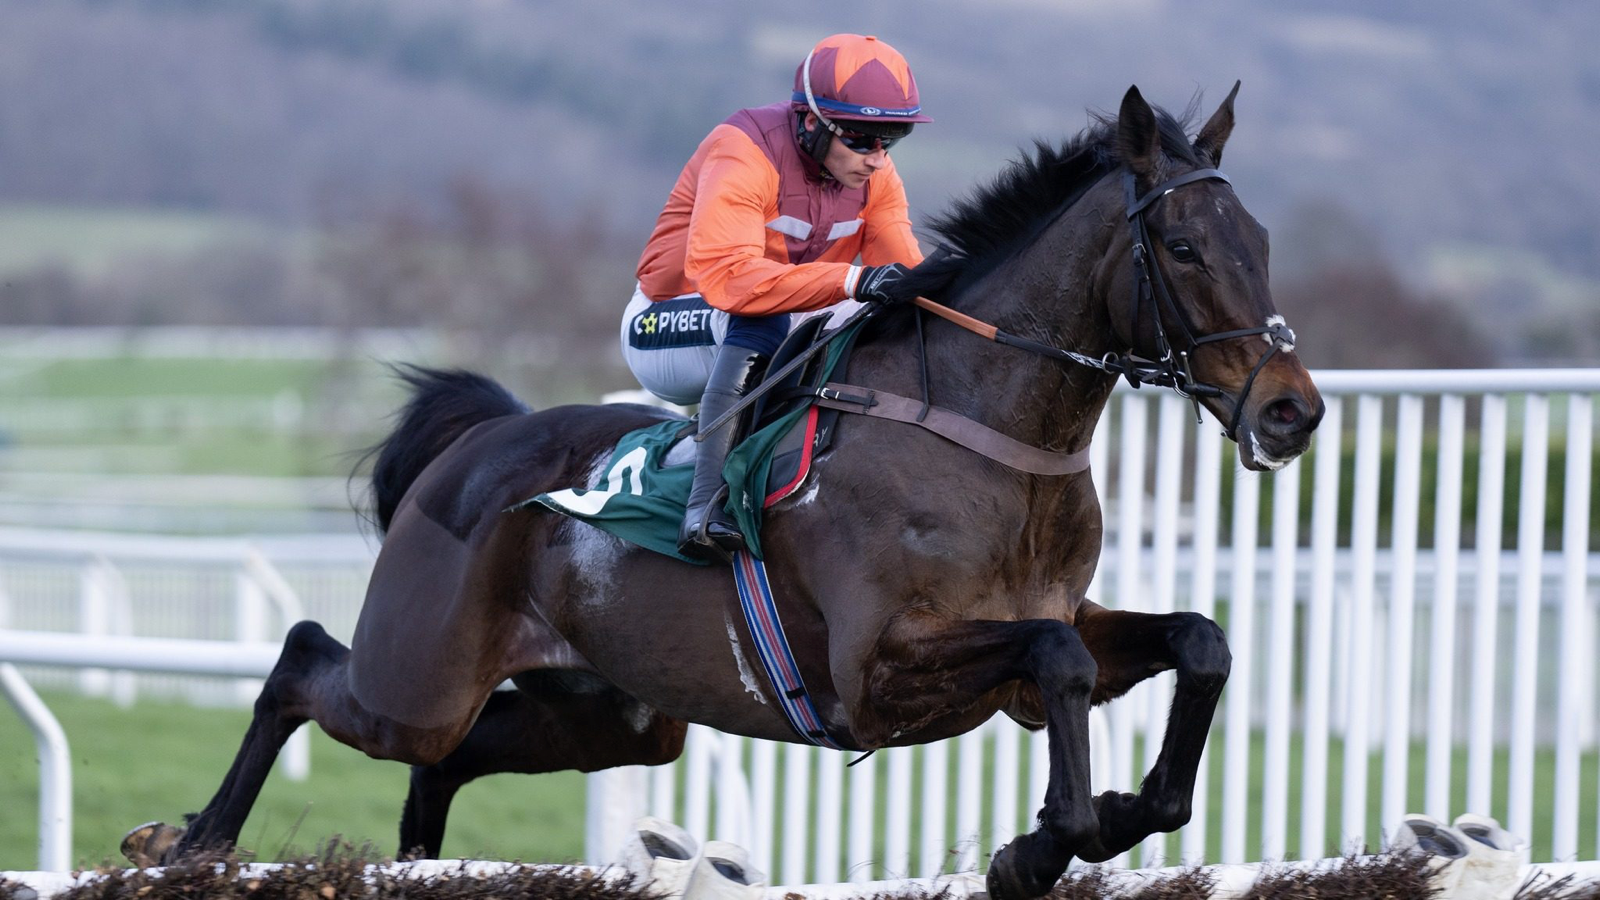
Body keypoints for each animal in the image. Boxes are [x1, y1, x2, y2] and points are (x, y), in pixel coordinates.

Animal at [124, 85, 1322, 900]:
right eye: (1181, 244)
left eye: (1263, 239)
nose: (1290, 411)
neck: (988, 438)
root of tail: (484, 436)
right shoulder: (878, 672)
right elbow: (1061, 661)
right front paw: (1040, 844)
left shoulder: (1046, 621)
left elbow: (1198, 643)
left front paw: (1114, 811)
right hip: (415, 678)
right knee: (304, 663)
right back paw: (189, 840)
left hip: (606, 712)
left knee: (451, 756)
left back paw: (407, 856)